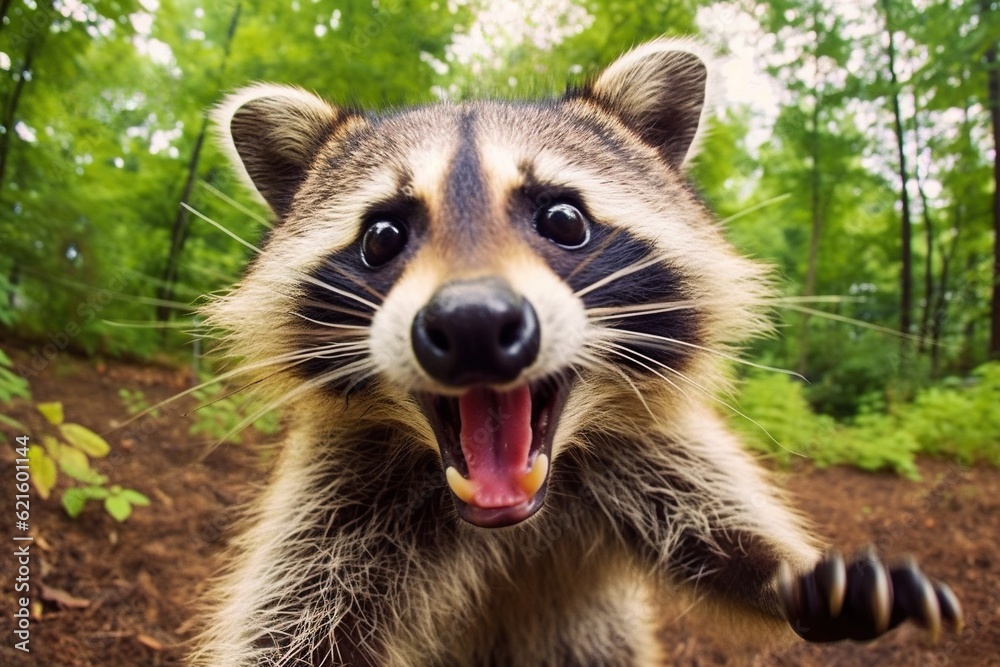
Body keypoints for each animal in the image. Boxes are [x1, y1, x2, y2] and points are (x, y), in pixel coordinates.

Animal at [189, 39, 962, 666]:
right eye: (382, 236)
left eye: (564, 219)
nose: (473, 323)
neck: (513, 514)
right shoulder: (335, 500)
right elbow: (289, 622)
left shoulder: (650, 447)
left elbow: (713, 529)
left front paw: (785, 575)